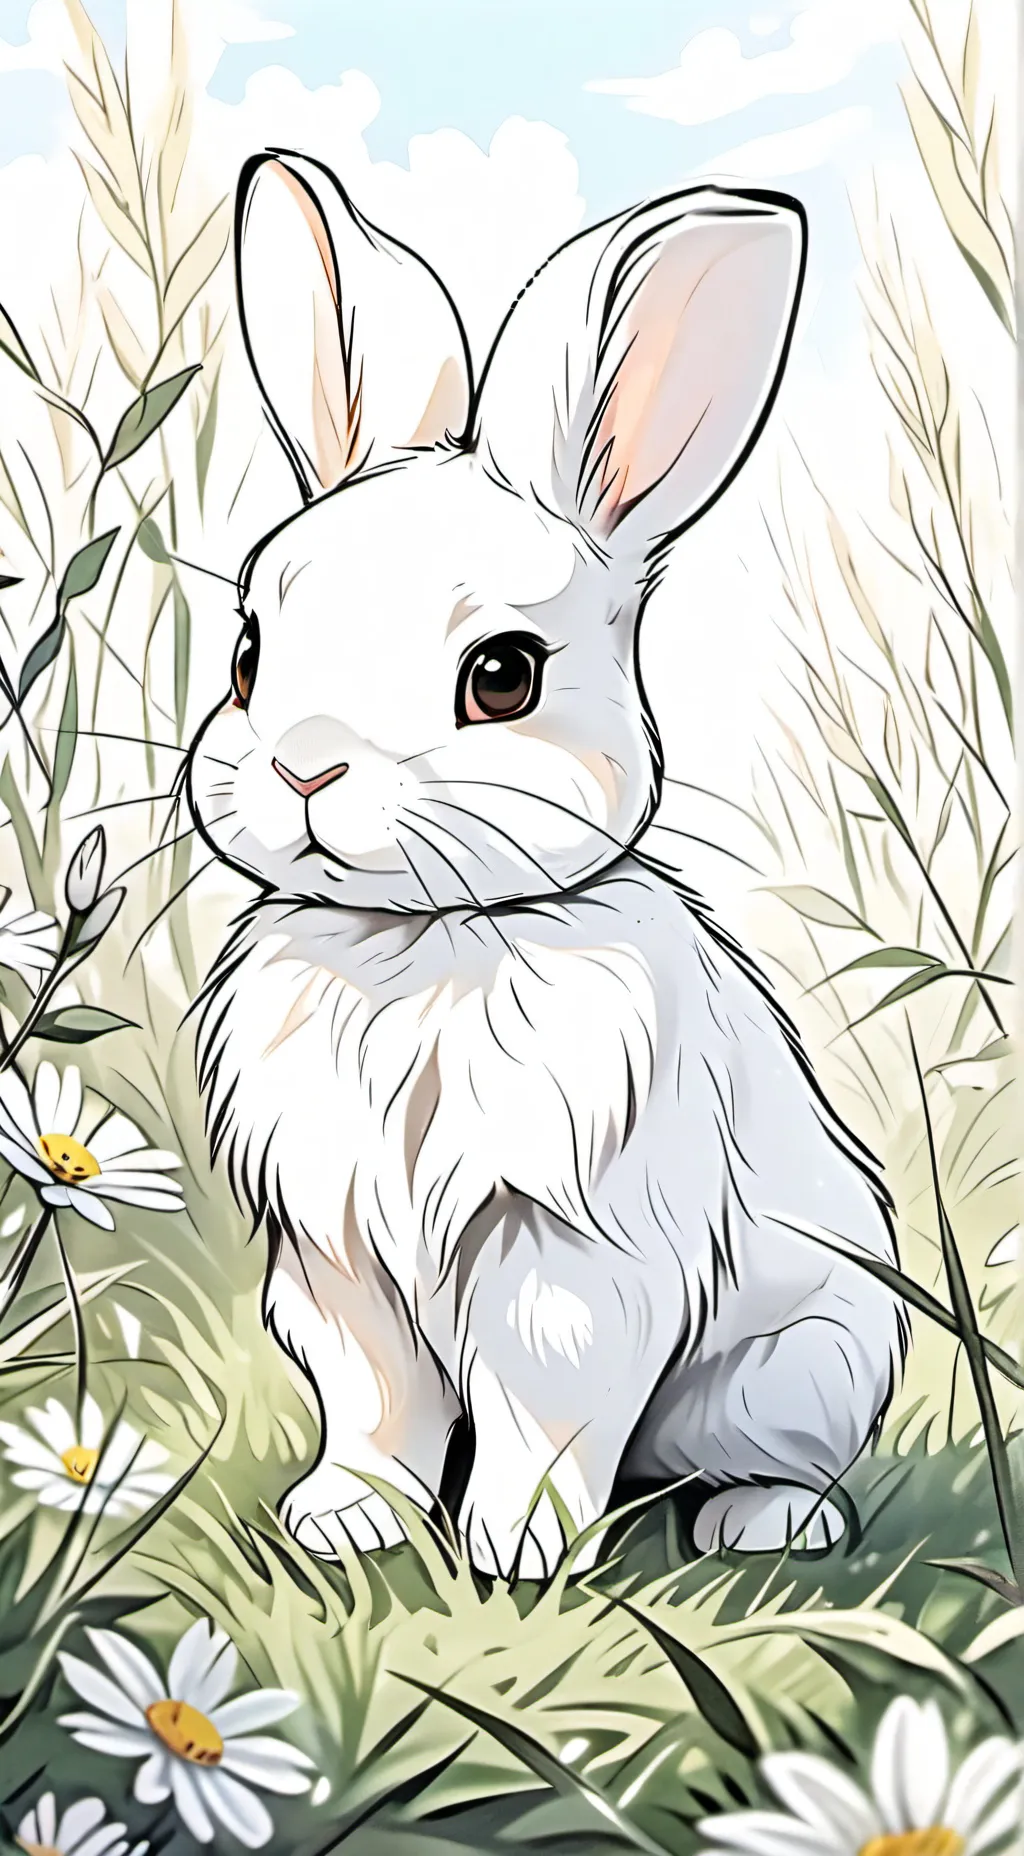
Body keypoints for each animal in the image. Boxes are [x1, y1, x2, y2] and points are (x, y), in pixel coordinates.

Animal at [186, 148, 909, 1578]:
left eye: (503, 675)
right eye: (245, 652)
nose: (304, 768)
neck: (422, 938)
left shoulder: (568, 1259)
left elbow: (545, 1404)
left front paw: (517, 1550)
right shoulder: (338, 1258)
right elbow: (373, 1403)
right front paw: (347, 1520)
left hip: (803, 1361)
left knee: (767, 1456)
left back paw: (760, 1522)